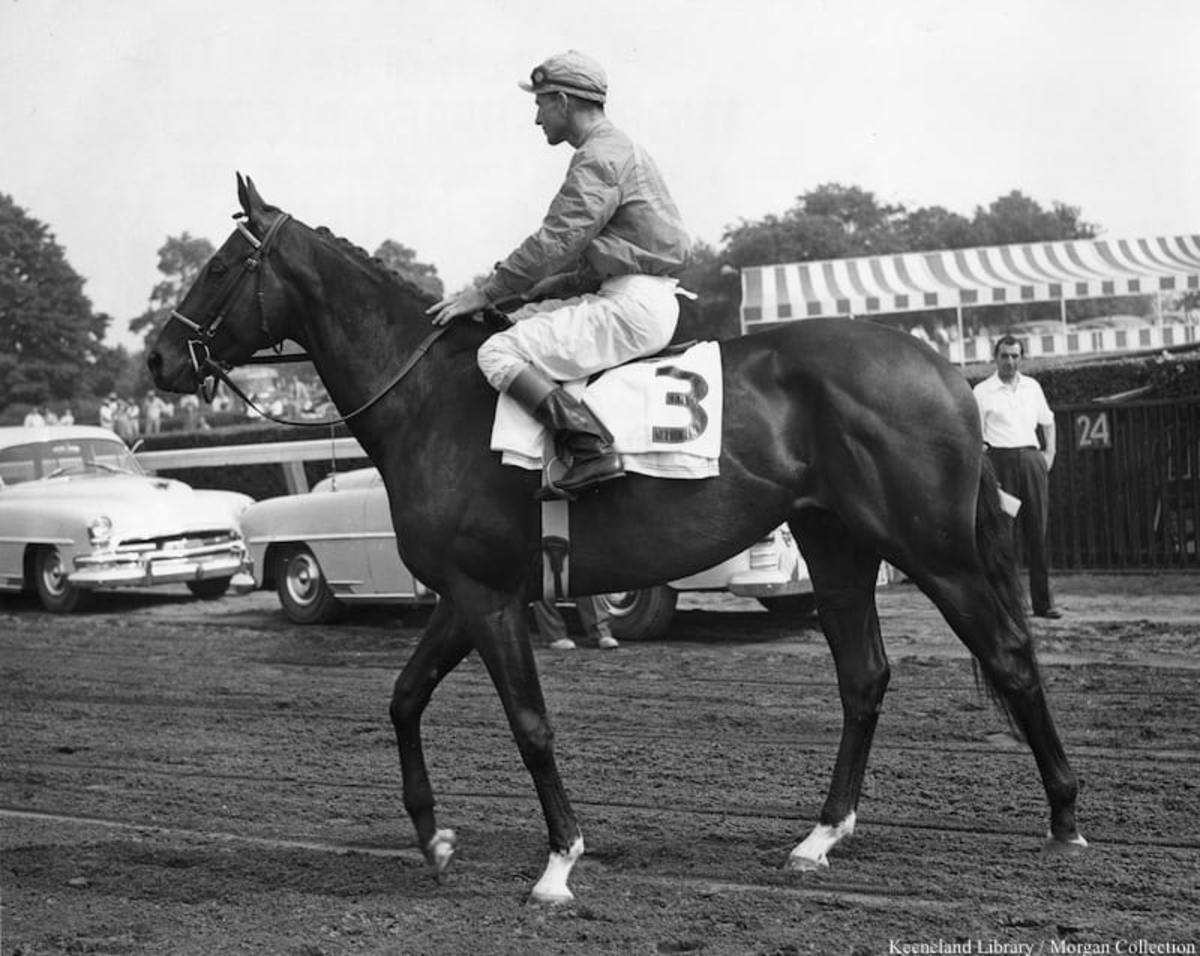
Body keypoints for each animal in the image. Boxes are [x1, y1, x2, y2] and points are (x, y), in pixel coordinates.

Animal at [145, 177, 1084, 902]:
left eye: (220, 266)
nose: (156, 359)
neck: (432, 402)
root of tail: (944, 368)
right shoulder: (470, 592)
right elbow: (404, 698)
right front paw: (432, 835)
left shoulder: (486, 597)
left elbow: (529, 724)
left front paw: (560, 862)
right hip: (838, 545)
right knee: (864, 676)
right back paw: (822, 835)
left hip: (935, 550)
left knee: (1008, 653)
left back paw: (1067, 818)